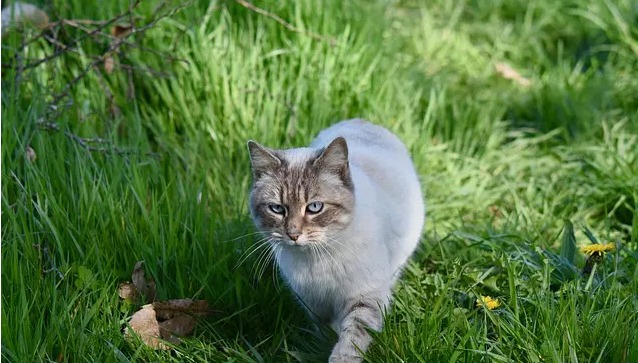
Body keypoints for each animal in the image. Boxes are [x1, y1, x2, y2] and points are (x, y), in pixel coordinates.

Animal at [249, 118, 424, 362]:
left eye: (314, 207)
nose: (293, 234)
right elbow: (324, 330)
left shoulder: (364, 297)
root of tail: (361, 120)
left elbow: (351, 341)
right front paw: (322, 344)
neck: (316, 260)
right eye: (277, 209)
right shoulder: (313, 302)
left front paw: (338, 356)